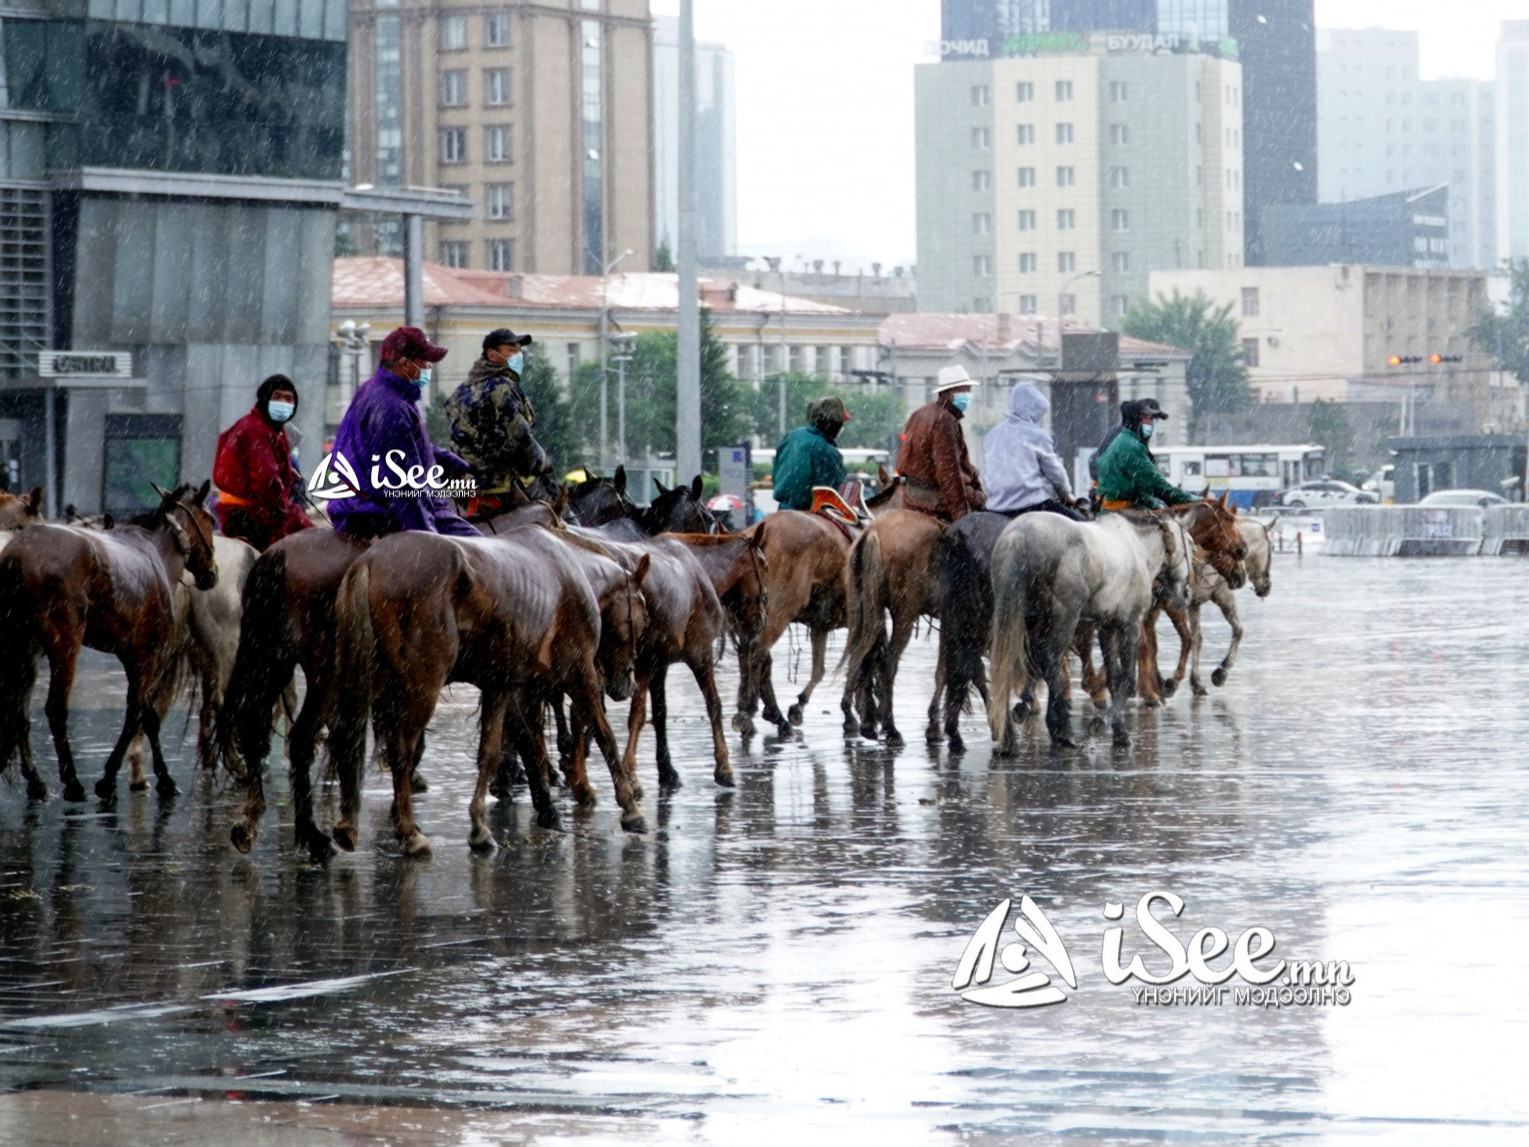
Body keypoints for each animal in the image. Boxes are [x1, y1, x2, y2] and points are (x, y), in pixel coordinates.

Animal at [0, 483, 218, 801]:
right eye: (211, 520)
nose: (212, 572)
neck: (159, 552)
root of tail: (17, 556)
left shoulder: (131, 654)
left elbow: (147, 714)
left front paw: (159, 777)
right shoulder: (147, 654)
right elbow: (138, 712)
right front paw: (112, 777)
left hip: (22, 645)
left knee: (17, 711)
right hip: (63, 644)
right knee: (55, 708)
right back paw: (72, 781)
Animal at [328, 529, 651, 856]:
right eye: (644, 616)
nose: (627, 682)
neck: (573, 572)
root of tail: (371, 560)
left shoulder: (501, 685)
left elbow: (495, 749)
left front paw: (481, 826)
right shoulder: (580, 674)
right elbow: (604, 735)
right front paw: (630, 807)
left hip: (373, 677)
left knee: (348, 736)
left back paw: (350, 824)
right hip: (422, 685)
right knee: (402, 750)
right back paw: (409, 832)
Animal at [984, 513, 1198, 755]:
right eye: (1191, 546)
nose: (1187, 594)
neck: (1138, 550)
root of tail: (1019, 535)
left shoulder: (1107, 628)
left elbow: (1113, 679)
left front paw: (1118, 730)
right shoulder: (1130, 626)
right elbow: (1127, 680)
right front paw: (1108, 725)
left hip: (1024, 618)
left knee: (1015, 663)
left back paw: (1012, 732)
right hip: (1065, 617)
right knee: (1049, 659)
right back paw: (1062, 728)